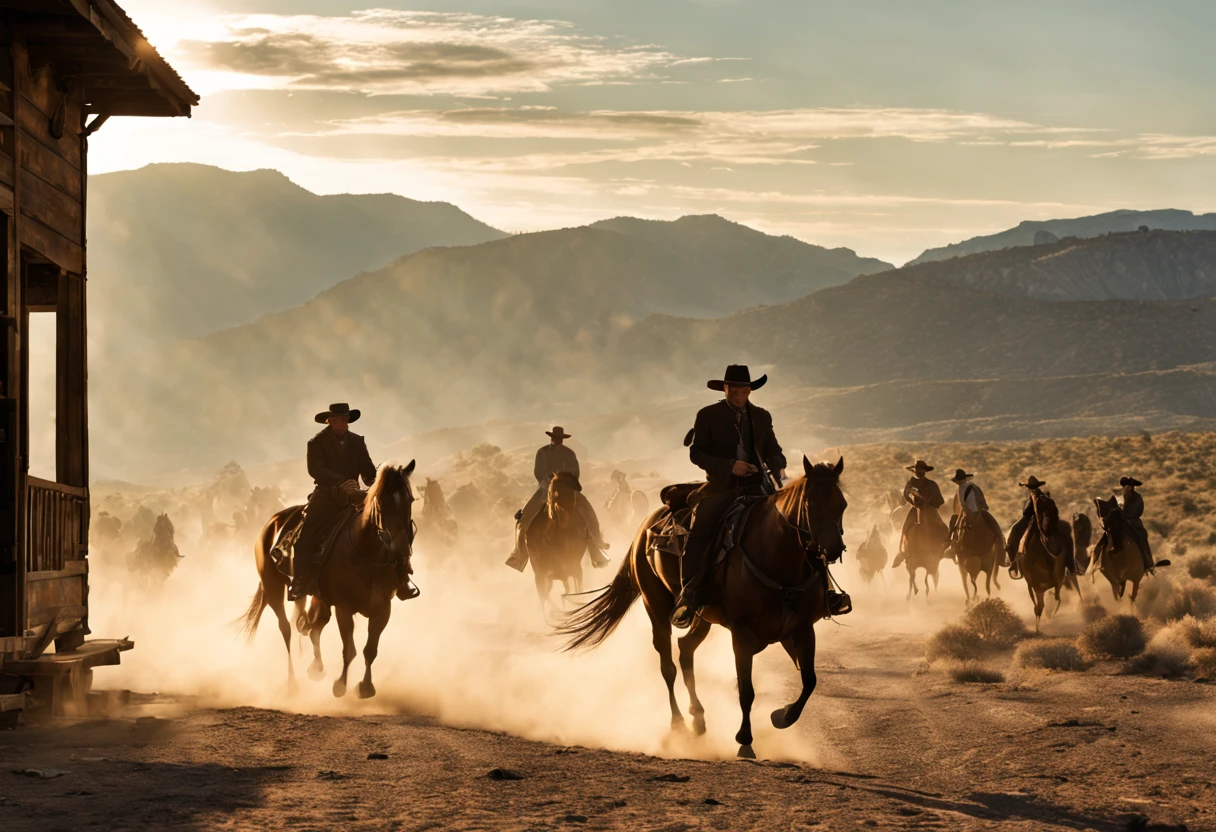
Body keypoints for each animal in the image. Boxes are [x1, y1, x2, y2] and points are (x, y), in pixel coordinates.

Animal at [237, 462, 418, 695]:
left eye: (410, 500)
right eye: (382, 503)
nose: (401, 551)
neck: (365, 551)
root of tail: (271, 523)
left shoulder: (383, 608)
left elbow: (370, 650)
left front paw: (366, 687)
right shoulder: (344, 607)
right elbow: (349, 649)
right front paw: (340, 685)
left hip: (309, 594)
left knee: (311, 626)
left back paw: (315, 667)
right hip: (273, 587)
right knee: (287, 628)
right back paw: (292, 682)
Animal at [525, 471, 586, 613]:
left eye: (572, 479)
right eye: (558, 483)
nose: (555, 506)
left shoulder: (574, 567)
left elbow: (576, 589)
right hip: (543, 576)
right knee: (544, 598)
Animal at [559, 457, 846, 759]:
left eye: (842, 504)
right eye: (810, 504)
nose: (833, 549)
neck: (776, 559)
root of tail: (644, 529)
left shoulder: (803, 628)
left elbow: (809, 680)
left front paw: (782, 716)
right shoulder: (741, 634)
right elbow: (746, 690)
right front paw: (745, 740)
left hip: (701, 615)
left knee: (685, 650)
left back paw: (698, 718)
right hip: (655, 606)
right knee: (667, 665)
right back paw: (679, 725)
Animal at [1011, 486, 1070, 632]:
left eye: (1052, 506)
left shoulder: (1056, 580)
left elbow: (1054, 599)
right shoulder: (1033, 584)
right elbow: (1039, 606)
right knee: (1040, 605)